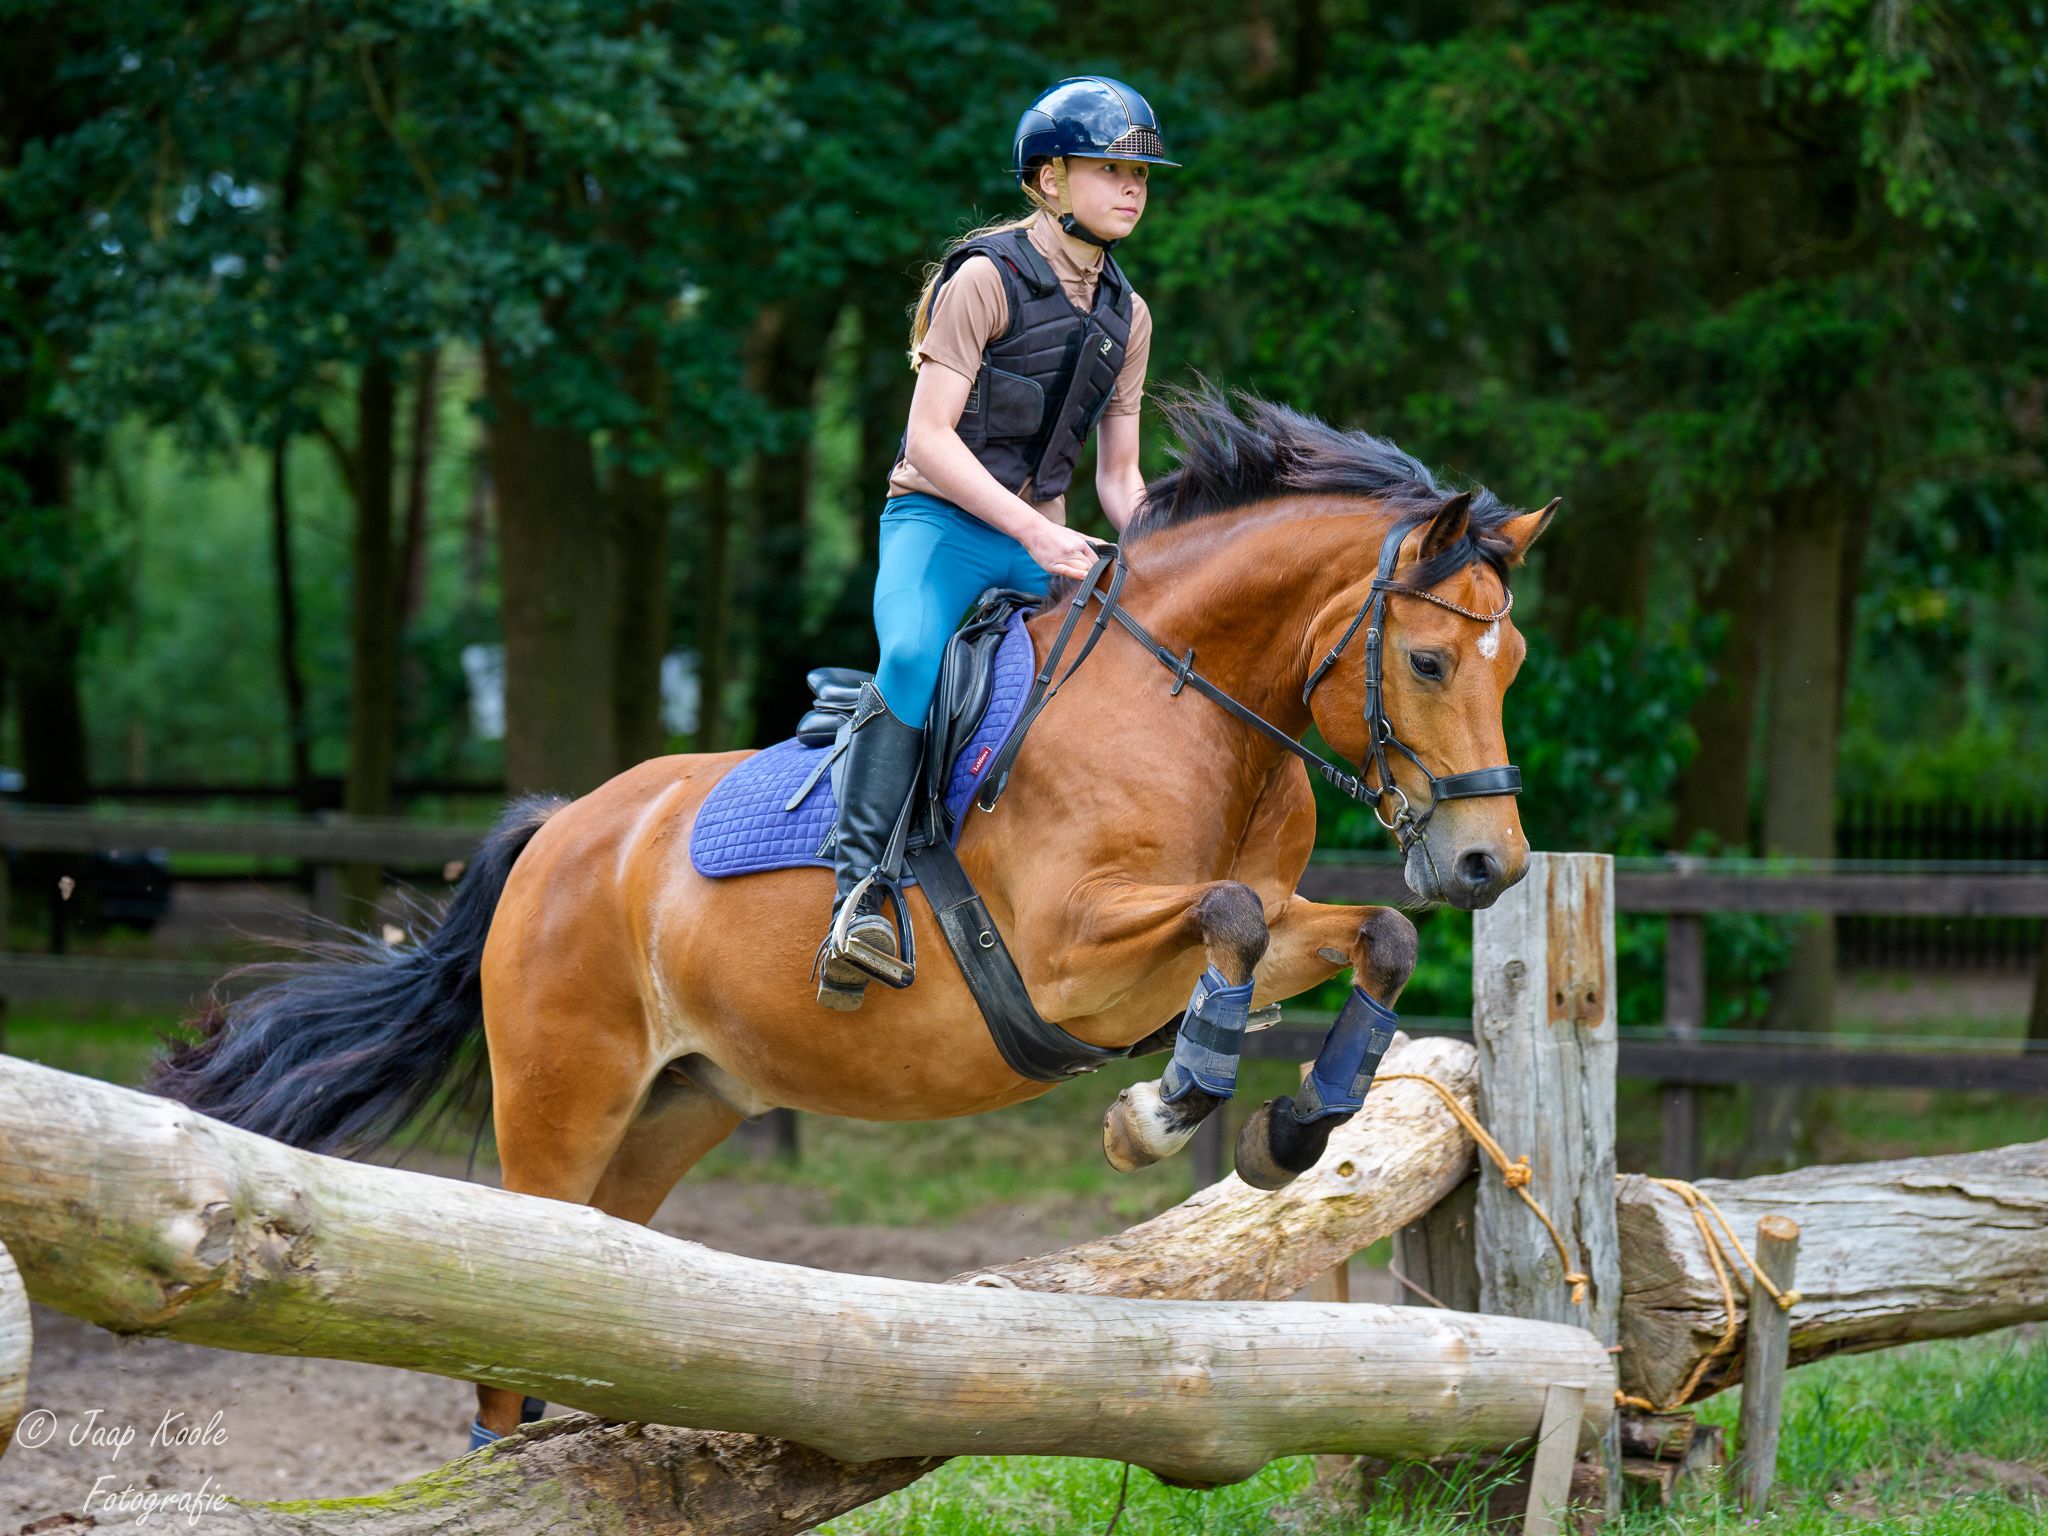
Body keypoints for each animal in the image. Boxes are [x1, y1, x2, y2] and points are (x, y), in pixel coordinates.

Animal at [150, 389, 1555, 1441]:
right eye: (1427, 658)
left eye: (1515, 663)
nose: (1488, 862)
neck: (1196, 714)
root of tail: (559, 832)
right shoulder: (1071, 958)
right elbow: (1228, 921)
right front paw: (1156, 1115)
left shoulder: (1232, 930)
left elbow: (1366, 936)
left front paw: (1292, 1127)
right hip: (561, 1096)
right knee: (512, 1320)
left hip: (681, 1104)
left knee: (597, 1295)